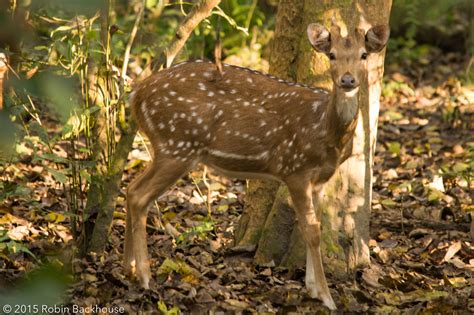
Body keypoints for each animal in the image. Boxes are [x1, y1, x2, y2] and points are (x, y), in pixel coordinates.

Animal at [125, 22, 388, 312]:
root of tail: (136, 95)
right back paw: (144, 277)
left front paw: (312, 287)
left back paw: (128, 269)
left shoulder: (319, 179)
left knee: (130, 188)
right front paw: (326, 297)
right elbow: (312, 231)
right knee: (139, 196)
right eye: (332, 55)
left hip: (169, 147)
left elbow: (314, 226)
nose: (348, 80)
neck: (326, 131)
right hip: (177, 144)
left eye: (364, 55)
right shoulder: (294, 168)